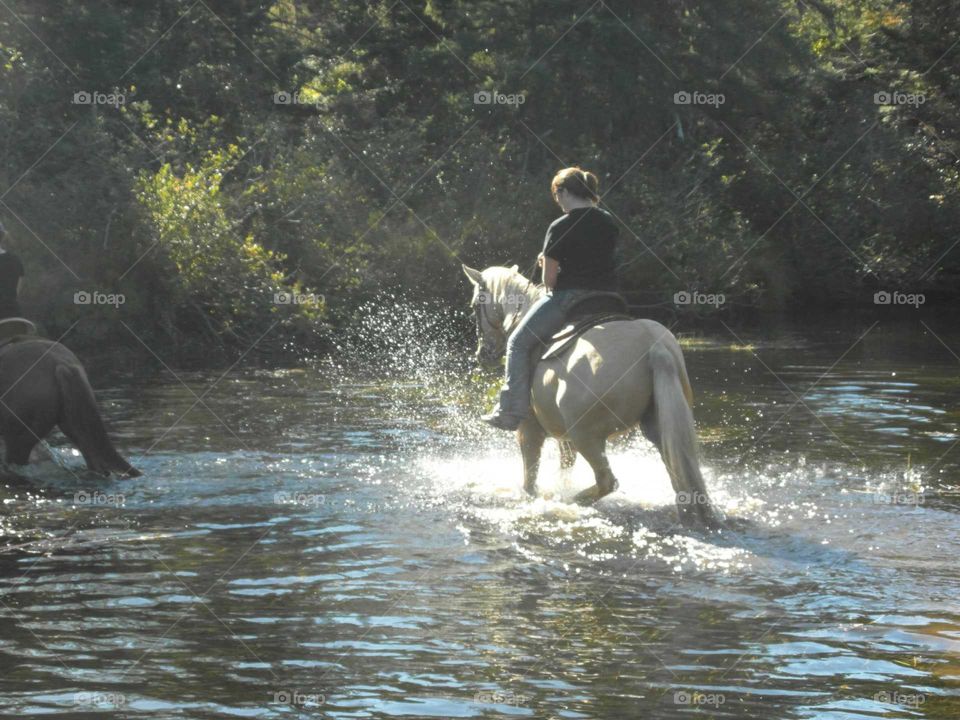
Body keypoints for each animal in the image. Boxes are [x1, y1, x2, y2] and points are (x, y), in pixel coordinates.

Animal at [464, 266, 720, 528]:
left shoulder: (529, 429)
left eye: (475, 305)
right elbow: (565, 466)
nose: (483, 354)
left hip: (586, 436)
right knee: (679, 479)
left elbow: (530, 474)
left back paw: (572, 500)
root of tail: (653, 348)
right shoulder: (563, 437)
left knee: (608, 481)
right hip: (659, 430)